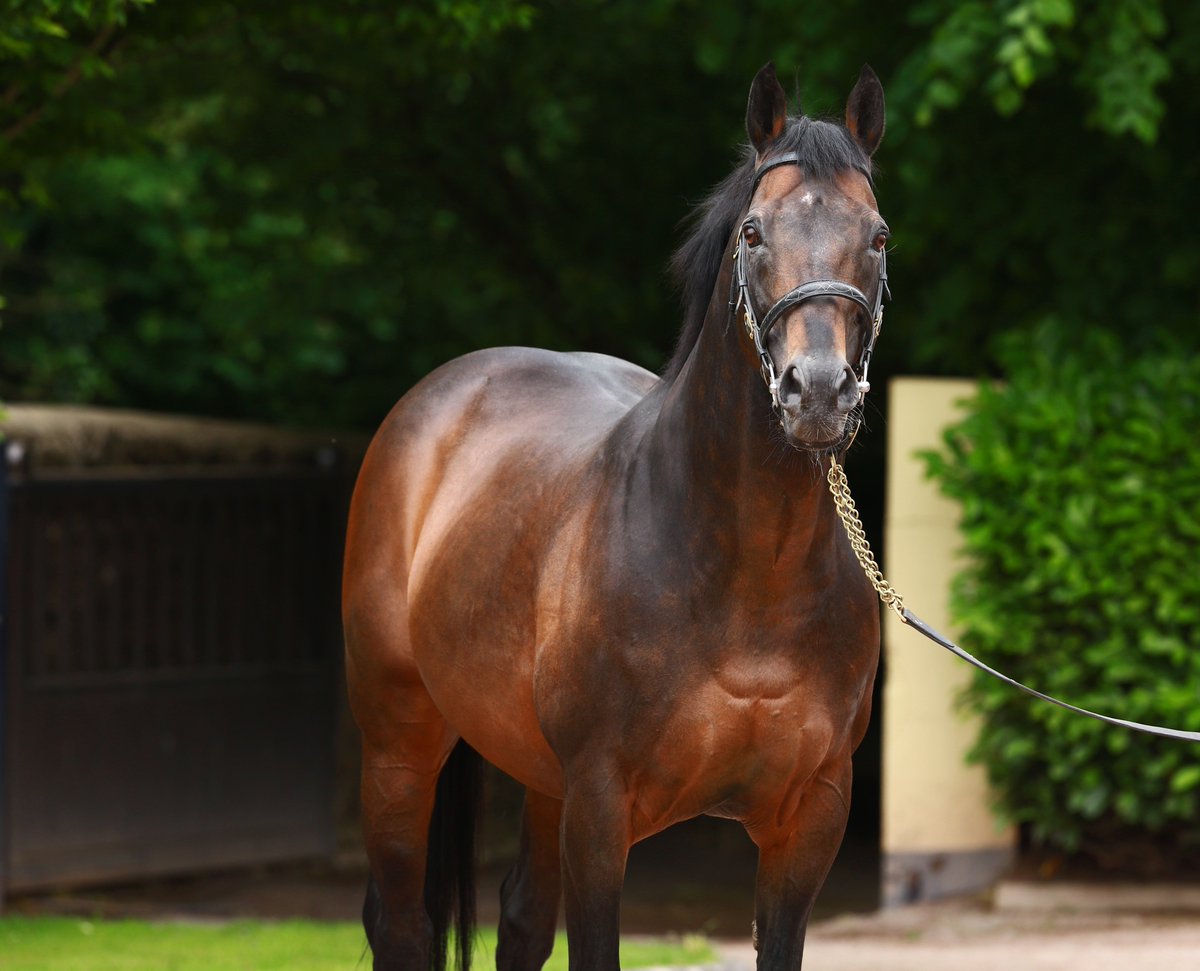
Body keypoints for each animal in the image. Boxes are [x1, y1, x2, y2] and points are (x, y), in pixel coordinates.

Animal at [343, 62, 888, 969]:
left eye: (877, 236)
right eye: (753, 233)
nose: (817, 391)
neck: (751, 574)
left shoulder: (809, 817)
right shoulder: (601, 809)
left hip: (538, 779)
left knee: (521, 921)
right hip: (399, 741)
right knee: (402, 926)